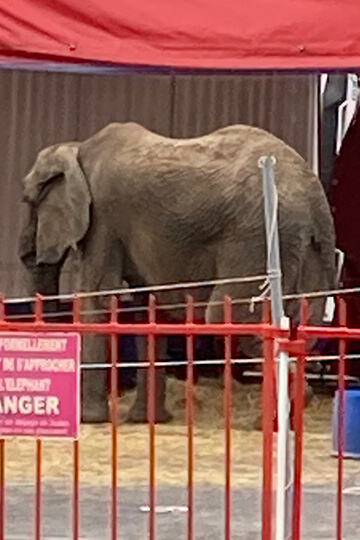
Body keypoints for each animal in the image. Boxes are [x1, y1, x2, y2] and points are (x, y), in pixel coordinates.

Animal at [18, 123, 336, 426]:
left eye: (28, 202)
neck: (77, 148)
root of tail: (316, 199)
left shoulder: (103, 220)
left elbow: (95, 296)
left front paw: (89, 419)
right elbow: (148, 309)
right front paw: (146, 420)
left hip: (258, 238)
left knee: (225, 316)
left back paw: (271, 419)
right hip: (305, 248)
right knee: (302, 325)